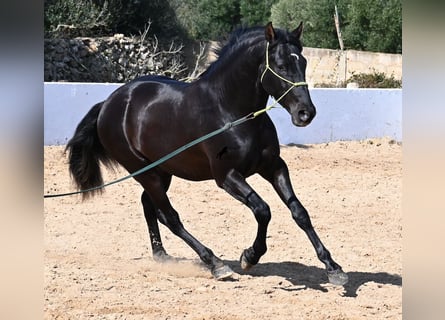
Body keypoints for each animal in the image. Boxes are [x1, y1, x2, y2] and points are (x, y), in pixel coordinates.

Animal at [67, 21, 348, 284]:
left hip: (161, 171)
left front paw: (333, 268)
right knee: (169, 216)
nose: (305, 113)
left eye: (303, 61)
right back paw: (215, 264)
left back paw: (162, 256)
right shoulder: (226, 176)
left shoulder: (274, 167)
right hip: (143, 172)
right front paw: (249, 256)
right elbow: (263, 210)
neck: (230, 111)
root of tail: (108, 103)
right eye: (280, 65)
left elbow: (300, 212)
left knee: (149, 205)